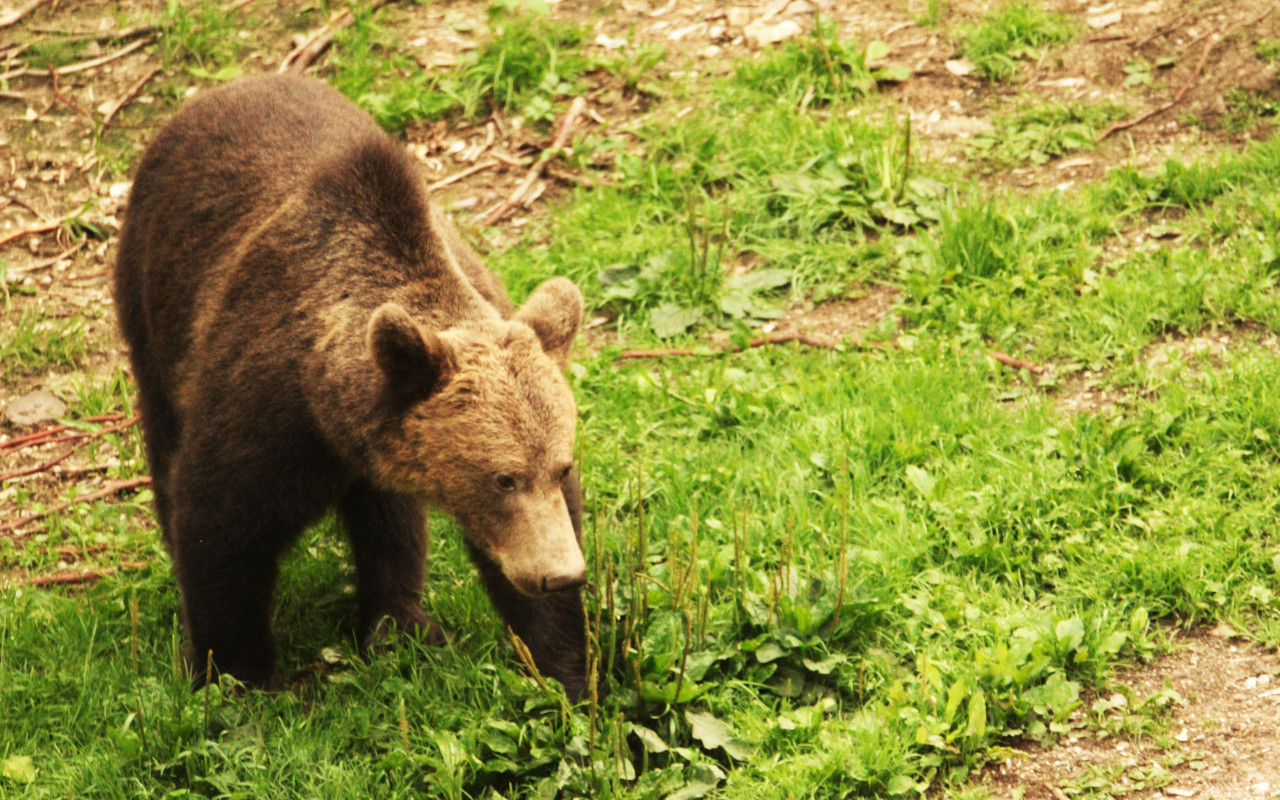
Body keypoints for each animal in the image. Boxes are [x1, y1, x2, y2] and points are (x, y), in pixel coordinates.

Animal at [113, 73, 592, 699]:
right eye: (502, 477)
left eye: (561, 467)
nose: (560, 574)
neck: (328, 406)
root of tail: (224, 88)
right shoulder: (266, 403)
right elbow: (220, 524)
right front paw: (241, 678)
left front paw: (568, 674)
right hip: (151, 293)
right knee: (165, 431)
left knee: (388, 520)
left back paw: (400, 623)